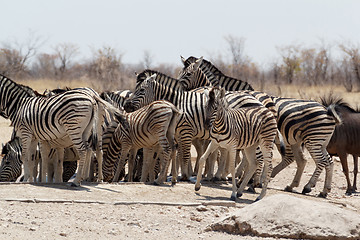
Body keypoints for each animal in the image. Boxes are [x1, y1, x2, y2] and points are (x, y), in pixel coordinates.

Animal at [179, 55, 342, 197]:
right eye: (180, 73)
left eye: (188, 74)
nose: (180, 90)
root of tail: (328, 111)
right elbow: (224, 153)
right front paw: (223, 175)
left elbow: (221, 154)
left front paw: (218, 175)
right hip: (314, 141)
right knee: (321, 161)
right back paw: (316, 189)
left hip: (311, 140)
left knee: (318, 161)